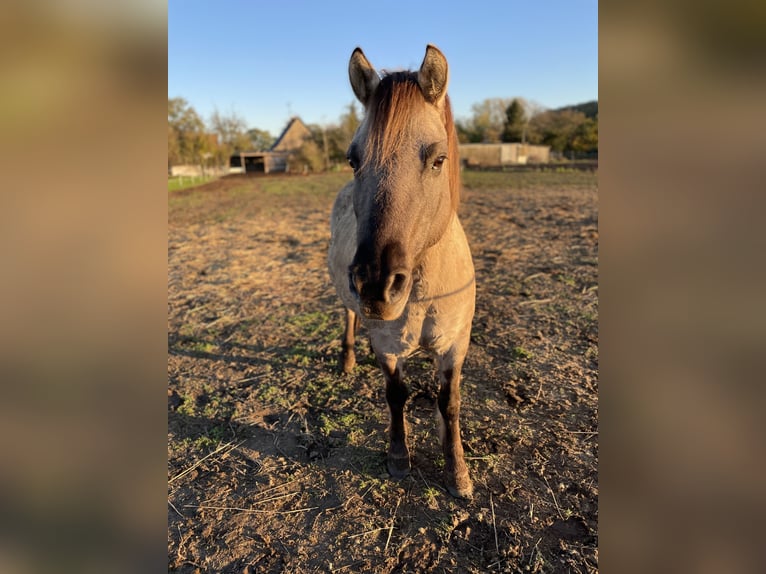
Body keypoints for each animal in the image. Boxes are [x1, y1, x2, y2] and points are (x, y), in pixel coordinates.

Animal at [328, 44, 476, 500]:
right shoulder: (387, 346)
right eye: (353, 159)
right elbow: (396, 396)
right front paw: (398, 458)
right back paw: (347, 360)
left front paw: (458, 473)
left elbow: (450, 403)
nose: (376, 285)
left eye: (438, 159)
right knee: (349, 315)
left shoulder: (455, 346)